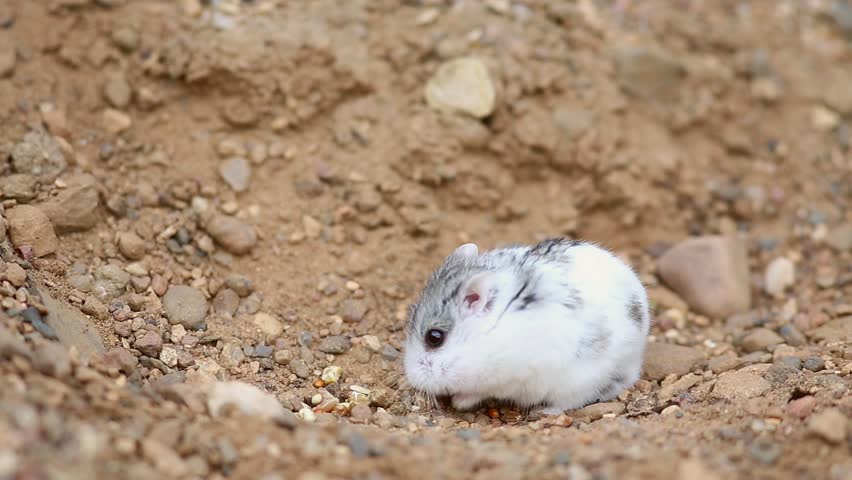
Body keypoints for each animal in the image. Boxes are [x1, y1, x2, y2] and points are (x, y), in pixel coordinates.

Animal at [403, 238, 650, 415]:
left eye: (434, 337)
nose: (411, 378)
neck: (486, 335)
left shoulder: (505, 379)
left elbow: (475, 393)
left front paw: (458, 402)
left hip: (580, 381)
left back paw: (546, 411)